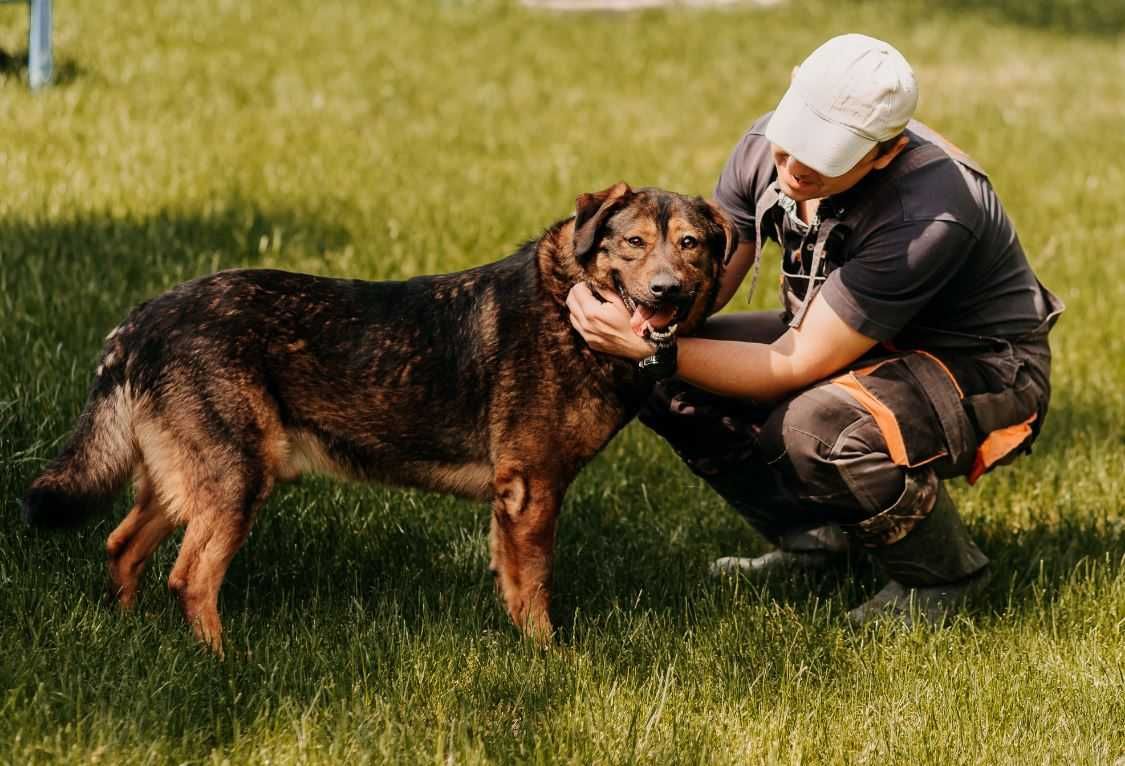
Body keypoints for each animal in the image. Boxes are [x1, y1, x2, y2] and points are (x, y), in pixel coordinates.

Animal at [24, 181, 738, 652]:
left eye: (691, 245)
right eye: (634, 243)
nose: (666, 290)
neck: (568, 303)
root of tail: (142, 319)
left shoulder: (511, 503)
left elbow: (511, 582)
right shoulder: (532, 491)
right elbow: (535, 587)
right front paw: (548, 658)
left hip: (182, 479)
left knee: (122, 547)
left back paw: (129, 636)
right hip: (236, 481)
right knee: (189, 577)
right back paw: (220, 664)